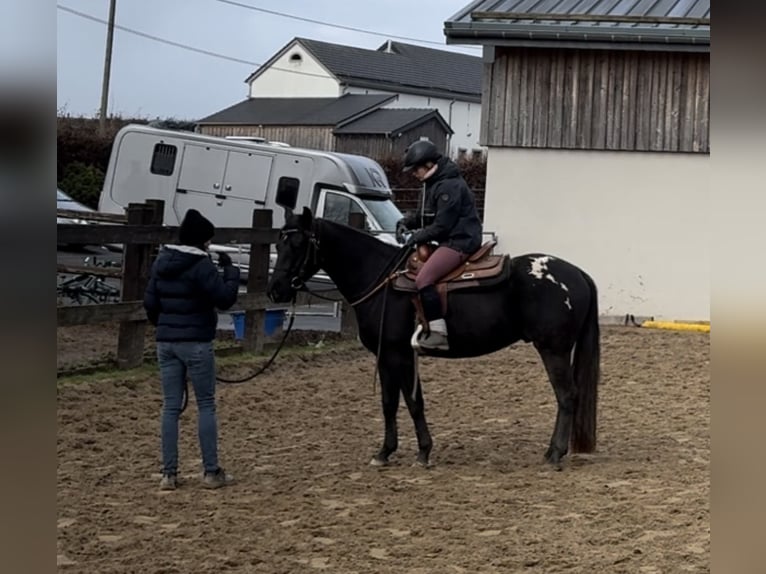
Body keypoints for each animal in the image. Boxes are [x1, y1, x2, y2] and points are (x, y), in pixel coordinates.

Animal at [268, 209, 604, 470]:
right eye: (279, 241)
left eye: (298, 243)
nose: (276, 289)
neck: (381, 280)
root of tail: (577, 273)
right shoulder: (385, 356)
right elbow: (389, 403)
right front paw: (384, 452)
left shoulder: (400, 354)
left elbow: (414, 402)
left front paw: (423, 452)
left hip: (553, 349)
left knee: (567, 396)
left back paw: (555, 454)